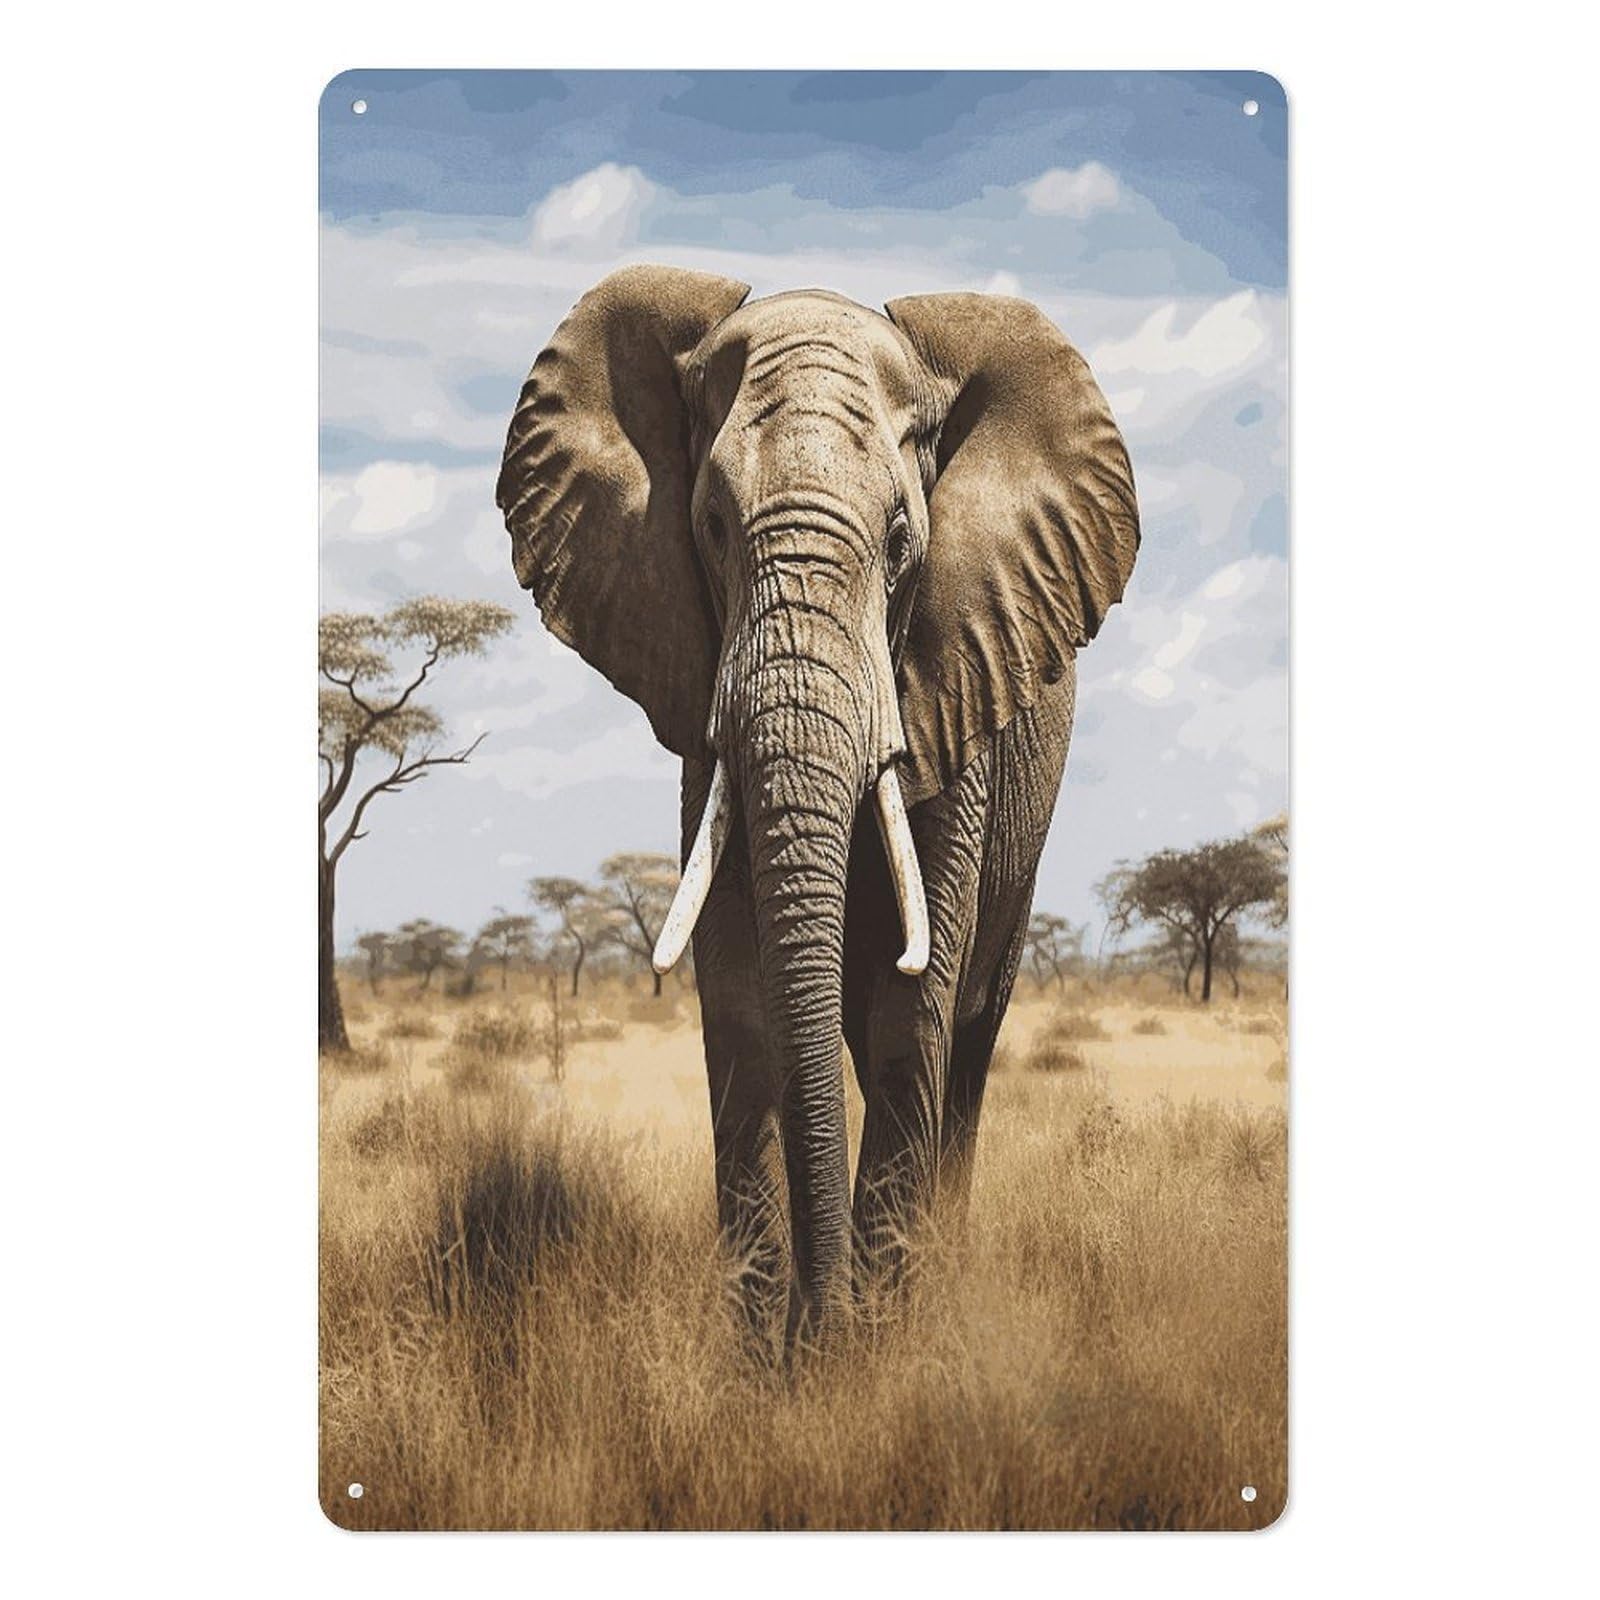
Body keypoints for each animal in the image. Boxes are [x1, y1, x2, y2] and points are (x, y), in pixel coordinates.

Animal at [497, 265, 1139, 1348]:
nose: (820, 1326)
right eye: (712, 528)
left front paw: (870, 1359)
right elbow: (742, 1000)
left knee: (967, 1043)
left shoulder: (954, 681)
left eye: (901, 540)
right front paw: (769, 1363)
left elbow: (907, 1012)